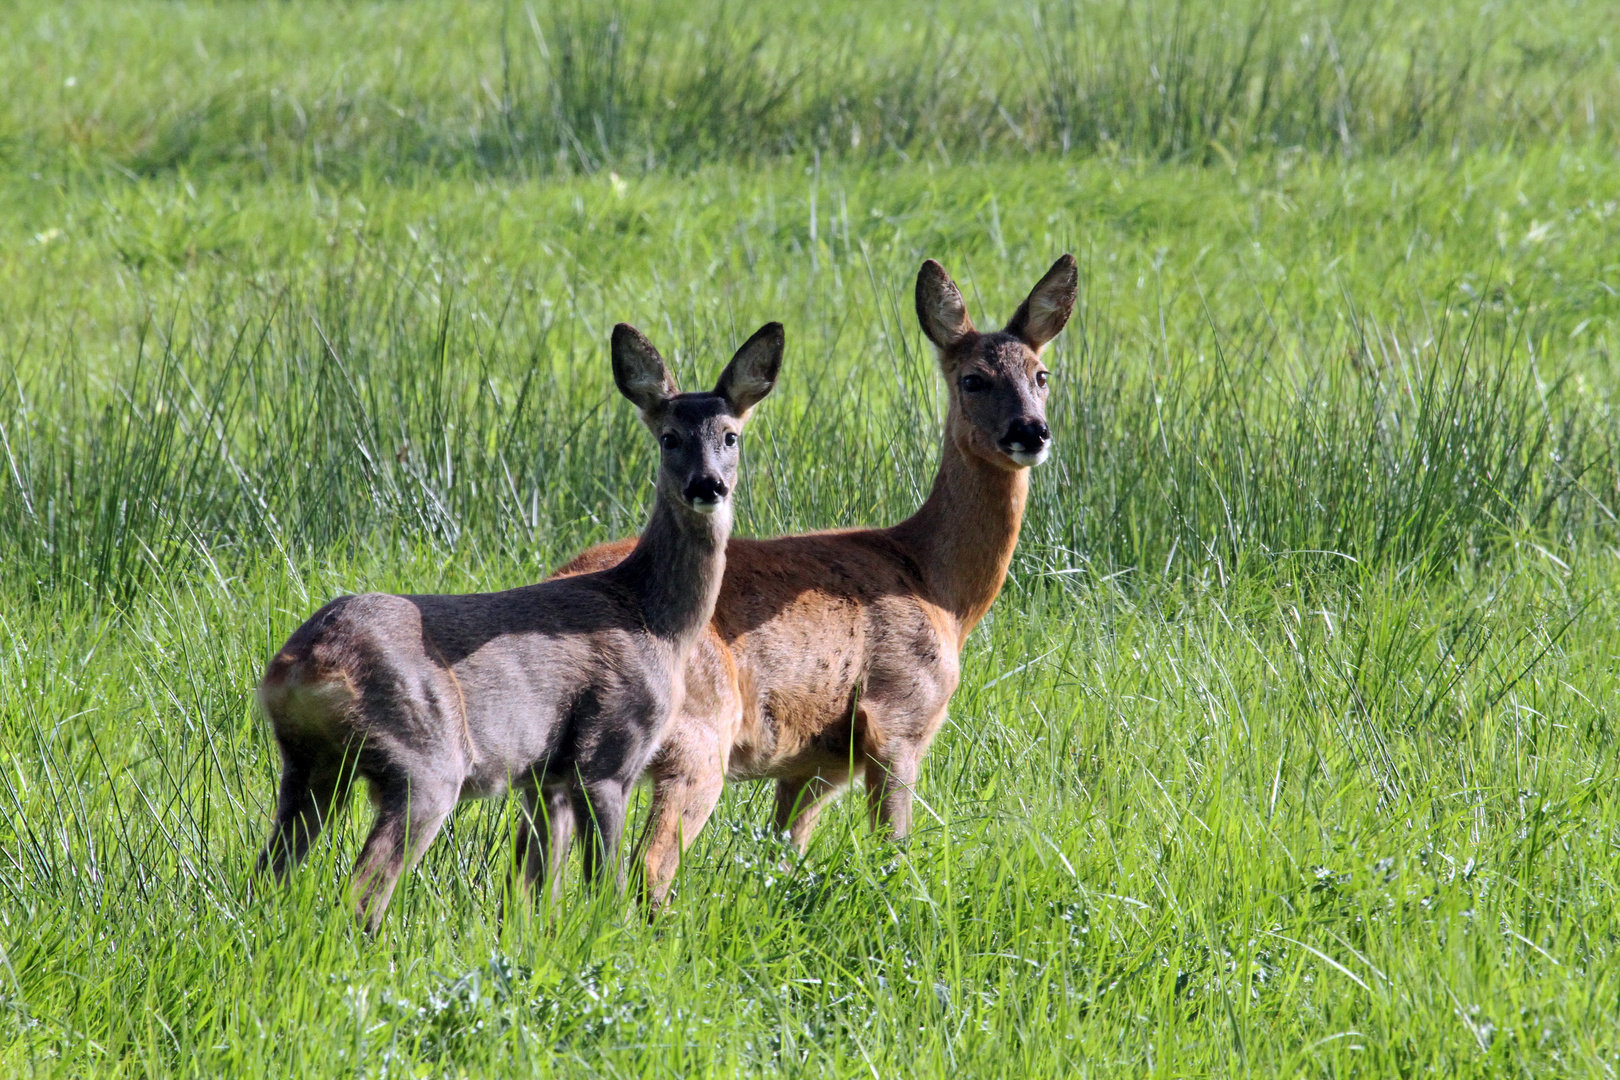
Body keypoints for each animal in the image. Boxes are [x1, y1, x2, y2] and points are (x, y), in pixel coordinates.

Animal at [254, 318, 784, 932]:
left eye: (731, 436)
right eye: (669, 437)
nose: (707, 485)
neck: (654, 619)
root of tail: (303, 664)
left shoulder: (543, 776)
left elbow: (530, 890)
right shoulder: (607, 749)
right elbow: (605, 882)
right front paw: (613, 936)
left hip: (309, 765)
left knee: (265, 875)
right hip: (424, 756)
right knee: (363, 893)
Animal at [557, 257, 1075, 906]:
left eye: (1042, 374)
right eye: (974, 379)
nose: (1032, 431)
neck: (936, 586)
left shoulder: (816, 762)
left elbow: (783, 855)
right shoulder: (898, 715)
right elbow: (893, 848)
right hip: (698, 735)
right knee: (650, 865)